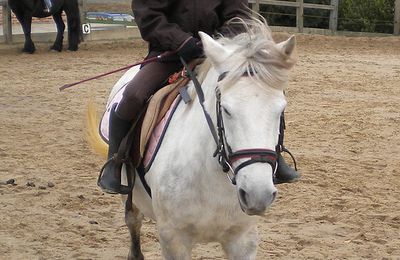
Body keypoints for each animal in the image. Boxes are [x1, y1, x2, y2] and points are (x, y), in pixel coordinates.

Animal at [86, 18, 296, 260]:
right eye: (226, 109)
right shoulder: (174, 239)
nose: (257, 194)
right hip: (128, 194)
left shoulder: (243, 240)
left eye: (281, 109)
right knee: (133, 222)